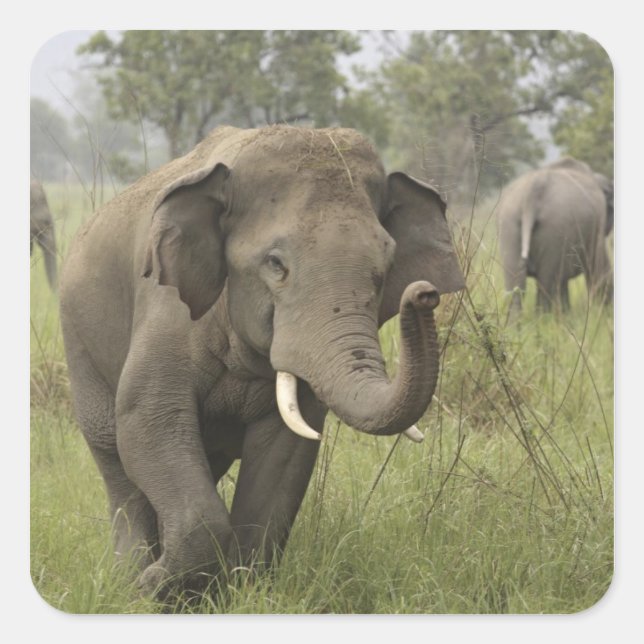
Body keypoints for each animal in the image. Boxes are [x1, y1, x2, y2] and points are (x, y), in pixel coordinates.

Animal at [59, 125, 465, 597]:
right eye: (276, 264)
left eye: (385, 268)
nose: (424, 293)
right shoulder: (166, 309)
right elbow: (148, 419)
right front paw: (153, 589)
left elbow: (285, 453)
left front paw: (235, 592)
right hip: (80, 344)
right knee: (116, 460)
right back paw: (128, 579)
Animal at [497, 157, 613, 313]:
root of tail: (533, 191)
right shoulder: (598, 223)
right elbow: (601, 271)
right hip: (556, 228)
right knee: (547, 285)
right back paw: (545, 317)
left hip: (509, 223)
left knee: (516, 288)